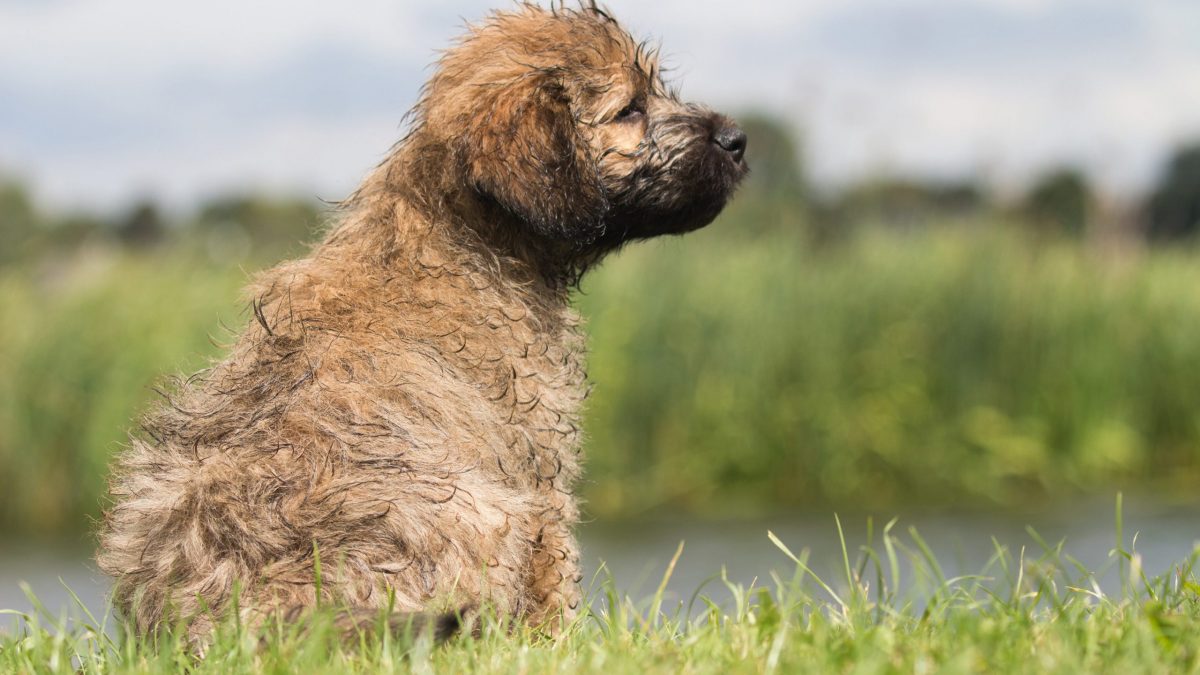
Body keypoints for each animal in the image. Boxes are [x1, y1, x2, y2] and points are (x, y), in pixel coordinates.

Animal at [98, 1, 744, 638]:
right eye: (630, 109)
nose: (738, 138)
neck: (467, 232)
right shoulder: (539, 469)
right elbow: (554, 581)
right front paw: (560, 647)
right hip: (483, 513)